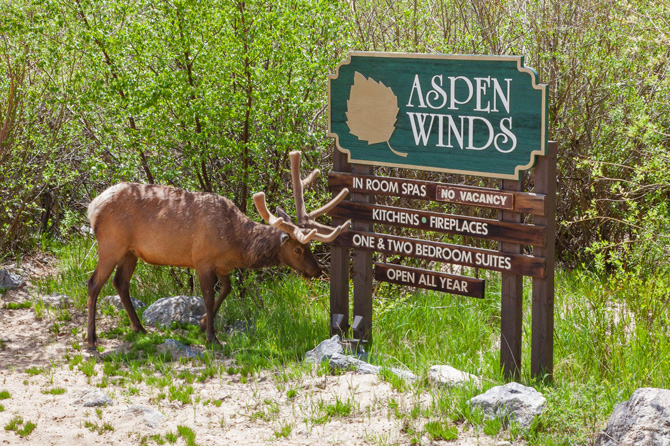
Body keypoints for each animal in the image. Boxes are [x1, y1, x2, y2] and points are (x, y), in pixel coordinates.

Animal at [86, 152, 352, 346]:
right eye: (298, 249)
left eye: (309, 246)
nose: (316, 271)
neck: (235, 244)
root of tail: (92, 207)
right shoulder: (202, 260)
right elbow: (208, 295)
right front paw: (212, 337)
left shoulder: (223, 266)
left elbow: (227, 290)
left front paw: (204, 323)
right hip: (111, 245)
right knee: (93, 283)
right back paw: (91, 339)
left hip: (130, 252)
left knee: (120, 283)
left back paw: (139, 328)